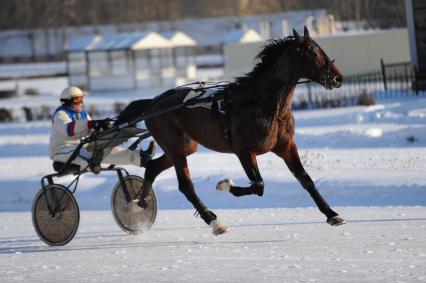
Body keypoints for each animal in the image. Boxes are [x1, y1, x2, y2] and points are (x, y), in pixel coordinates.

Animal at [131, 27, 344, 235]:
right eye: (312, 51)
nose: (338, 78)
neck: (265, 104)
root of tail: (152, 103)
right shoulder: (244, 151)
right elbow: (259, 185)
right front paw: (226, 185)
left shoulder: (286, 147)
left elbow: (305, 179)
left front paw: (332, 214)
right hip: (174, 147)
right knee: (186, 185)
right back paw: (214, 221)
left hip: (184, 147)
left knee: (153, 168)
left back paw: (140, 202)